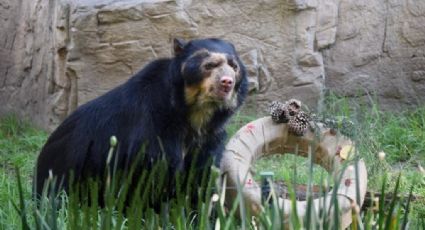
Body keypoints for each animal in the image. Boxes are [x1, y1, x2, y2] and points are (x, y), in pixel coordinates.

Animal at [34, 37, 248, 207]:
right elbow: (156, 171)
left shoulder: (211, 136)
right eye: (209, 65)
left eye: (234, 67)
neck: (195, 115)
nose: (227, 82)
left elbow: (202, 174)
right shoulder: (154, 124)